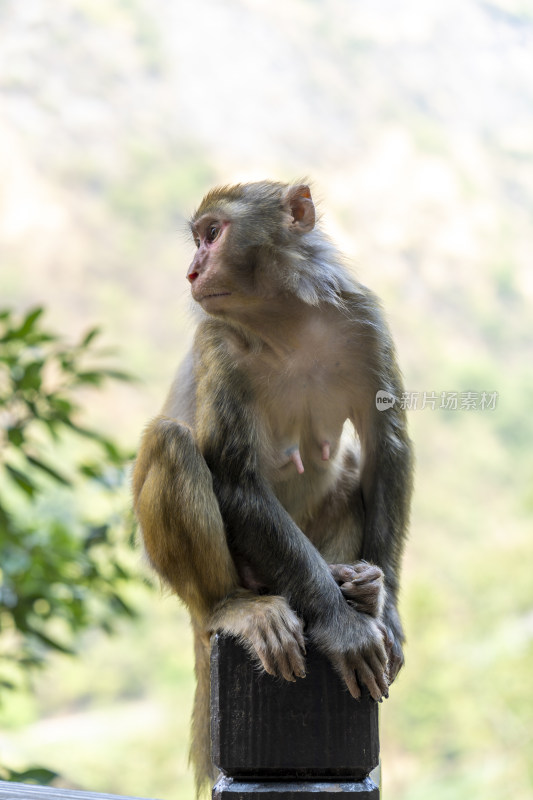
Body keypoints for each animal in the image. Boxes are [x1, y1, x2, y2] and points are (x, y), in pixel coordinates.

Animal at [131, 181, 414, 792]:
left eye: (212, 234)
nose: (192, 271)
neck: (287, 323)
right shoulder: (217, 340)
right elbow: (237, 479)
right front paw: (340, 625)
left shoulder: (363, 318)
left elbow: (386, 451)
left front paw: (384, 612)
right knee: (171, 442)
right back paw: (234, 607)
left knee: (349, 474)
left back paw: (358, 584)